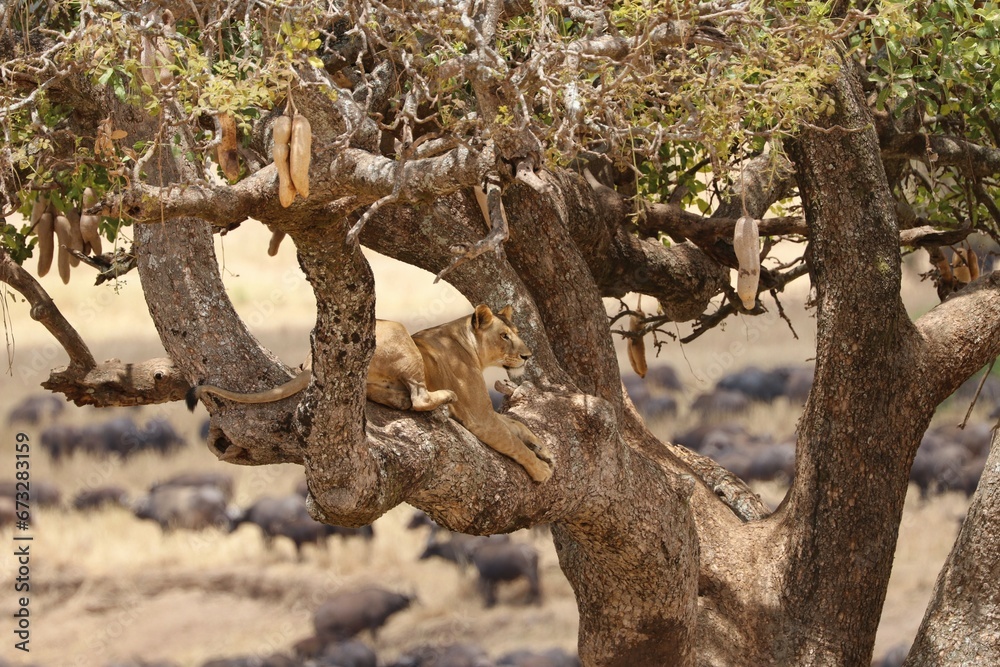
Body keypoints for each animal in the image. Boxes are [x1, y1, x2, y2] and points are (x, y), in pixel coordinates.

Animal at [186, 305, 553, 482]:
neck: (468, 344)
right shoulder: (479, 417)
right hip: (399, 332)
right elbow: (513, 443)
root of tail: (311, 362)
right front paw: (540, 470)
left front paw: (543, 448)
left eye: (516, 333)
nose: (528, 356)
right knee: (420, 398)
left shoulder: (487, 415)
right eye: (505, 336)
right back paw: (442, 400)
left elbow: (518, 427)